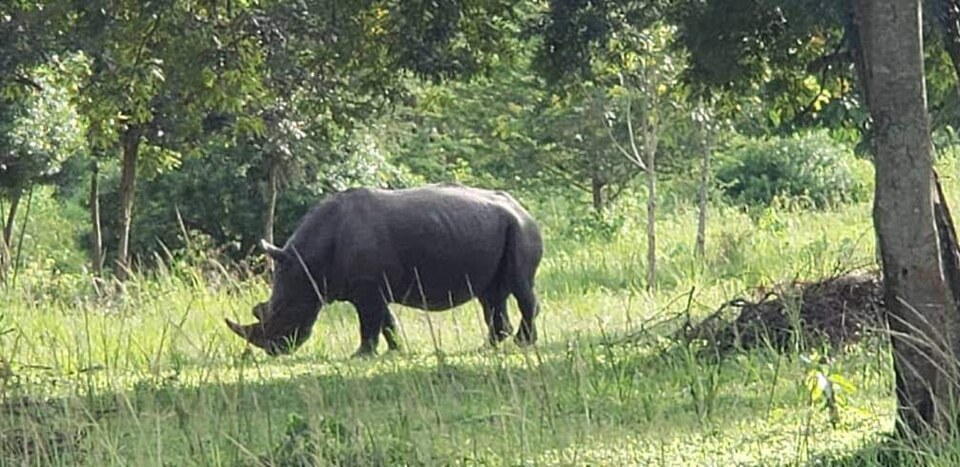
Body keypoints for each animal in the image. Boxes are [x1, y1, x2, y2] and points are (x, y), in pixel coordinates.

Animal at [225, 184, 544, 357]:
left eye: (283, 311)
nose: (273, 350)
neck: (306, 264)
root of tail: (524, 209)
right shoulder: (371, 288)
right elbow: (386, 321)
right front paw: (396, 350)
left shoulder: (367, 287)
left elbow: (368, 323)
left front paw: (360, 355)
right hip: (497, 227)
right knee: (490, 294)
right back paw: (487, 347)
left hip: (520, 228)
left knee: (519, 287)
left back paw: (522, 344)